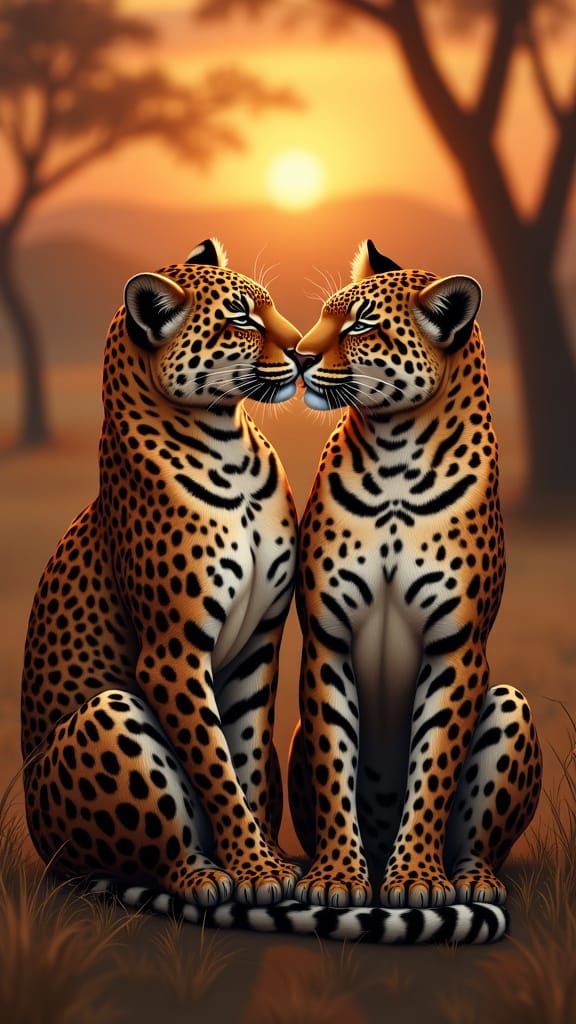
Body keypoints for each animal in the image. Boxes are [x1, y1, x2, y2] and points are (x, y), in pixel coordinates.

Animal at [287, 239, 542, 920]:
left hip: (509, 705)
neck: (395, 459)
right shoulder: (326, 639)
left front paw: (420, 879)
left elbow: (434, 768)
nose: (296, 354)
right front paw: (335, 877)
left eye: (361, 326)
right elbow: (335, 763)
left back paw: (472, 879)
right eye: (324, 315)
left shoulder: (455, 647)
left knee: (480, 842)